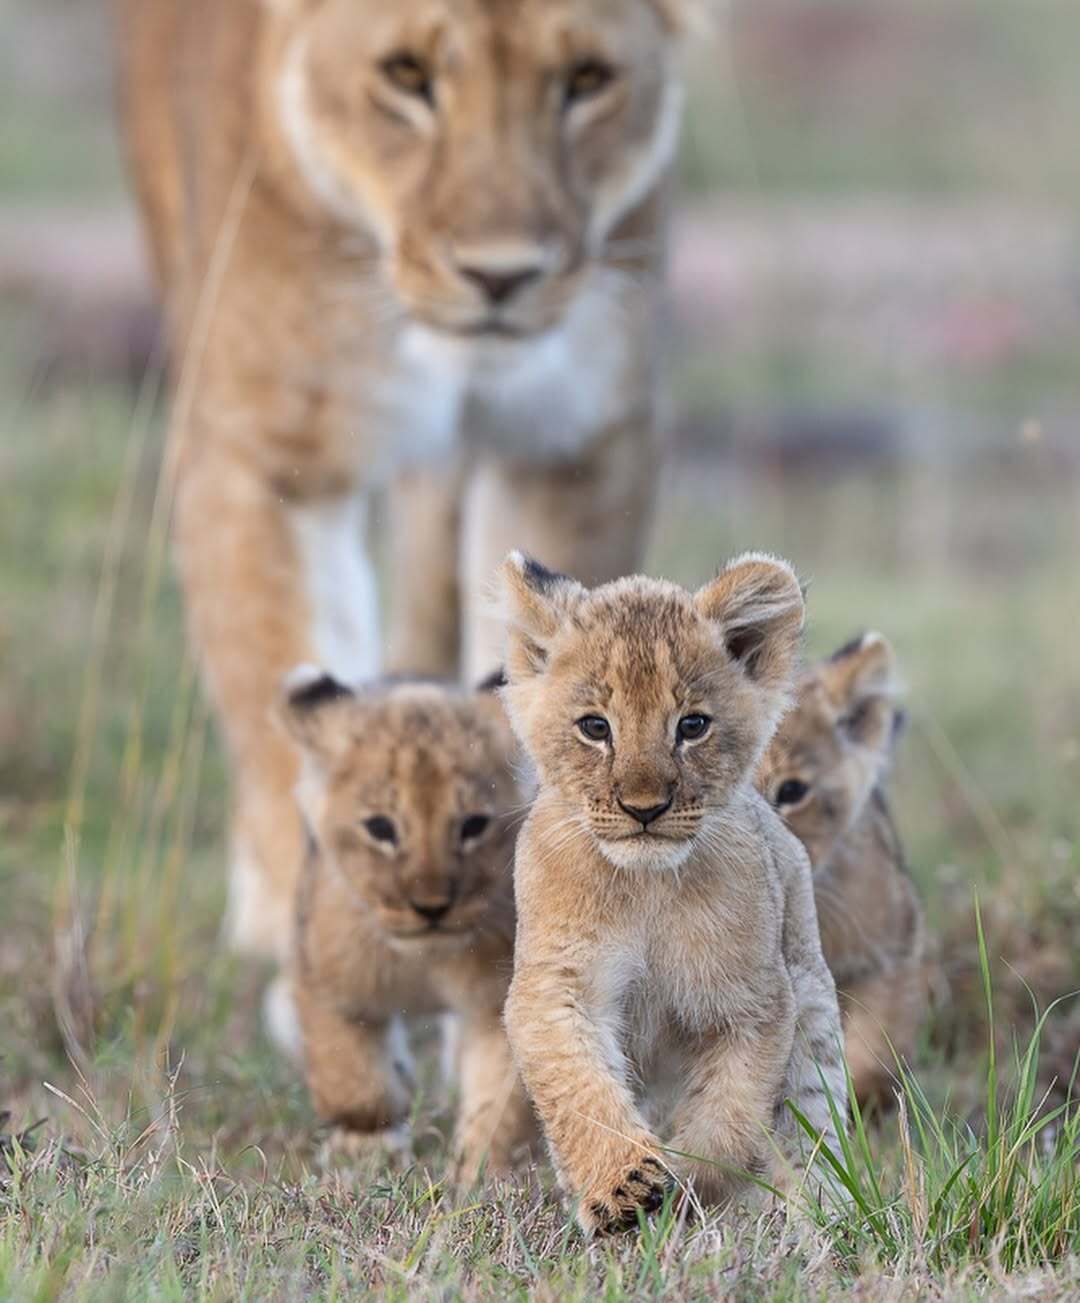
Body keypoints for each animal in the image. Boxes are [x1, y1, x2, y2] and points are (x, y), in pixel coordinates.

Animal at [115, 0, 704, 961]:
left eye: (585, 80)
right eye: (405, 75)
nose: (501, 276)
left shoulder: (570, 436)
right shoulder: (265, 447)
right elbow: (277, 677)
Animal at [277, 665, 535, 1181]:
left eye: (473, 825)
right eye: (381, 828)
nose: (430, 908)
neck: (425, 961)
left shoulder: (498, 1000)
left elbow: (498, 1101)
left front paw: (481, 1176)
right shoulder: (327, 982)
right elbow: (352, 1081)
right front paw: (367, 1151)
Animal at [497, 551, 847, 1236]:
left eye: (692, 725)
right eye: (595, 727)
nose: (644, 808)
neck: (647, 886)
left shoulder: (756, 1001)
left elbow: (731, 1114)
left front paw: (692, 1182)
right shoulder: (557, 984)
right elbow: (580, 1088)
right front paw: (622, 1187)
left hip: (815, 1012)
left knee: (810, 1130)